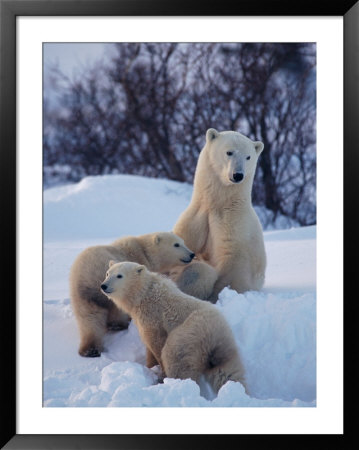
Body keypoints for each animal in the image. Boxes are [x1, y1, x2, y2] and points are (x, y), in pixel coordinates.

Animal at [174, 127, 268, 302]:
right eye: (229, 152)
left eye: (248, 157)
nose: (238, 175)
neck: (218, 204)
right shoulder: (195, 218)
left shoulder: (233, 224)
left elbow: (231, 262)